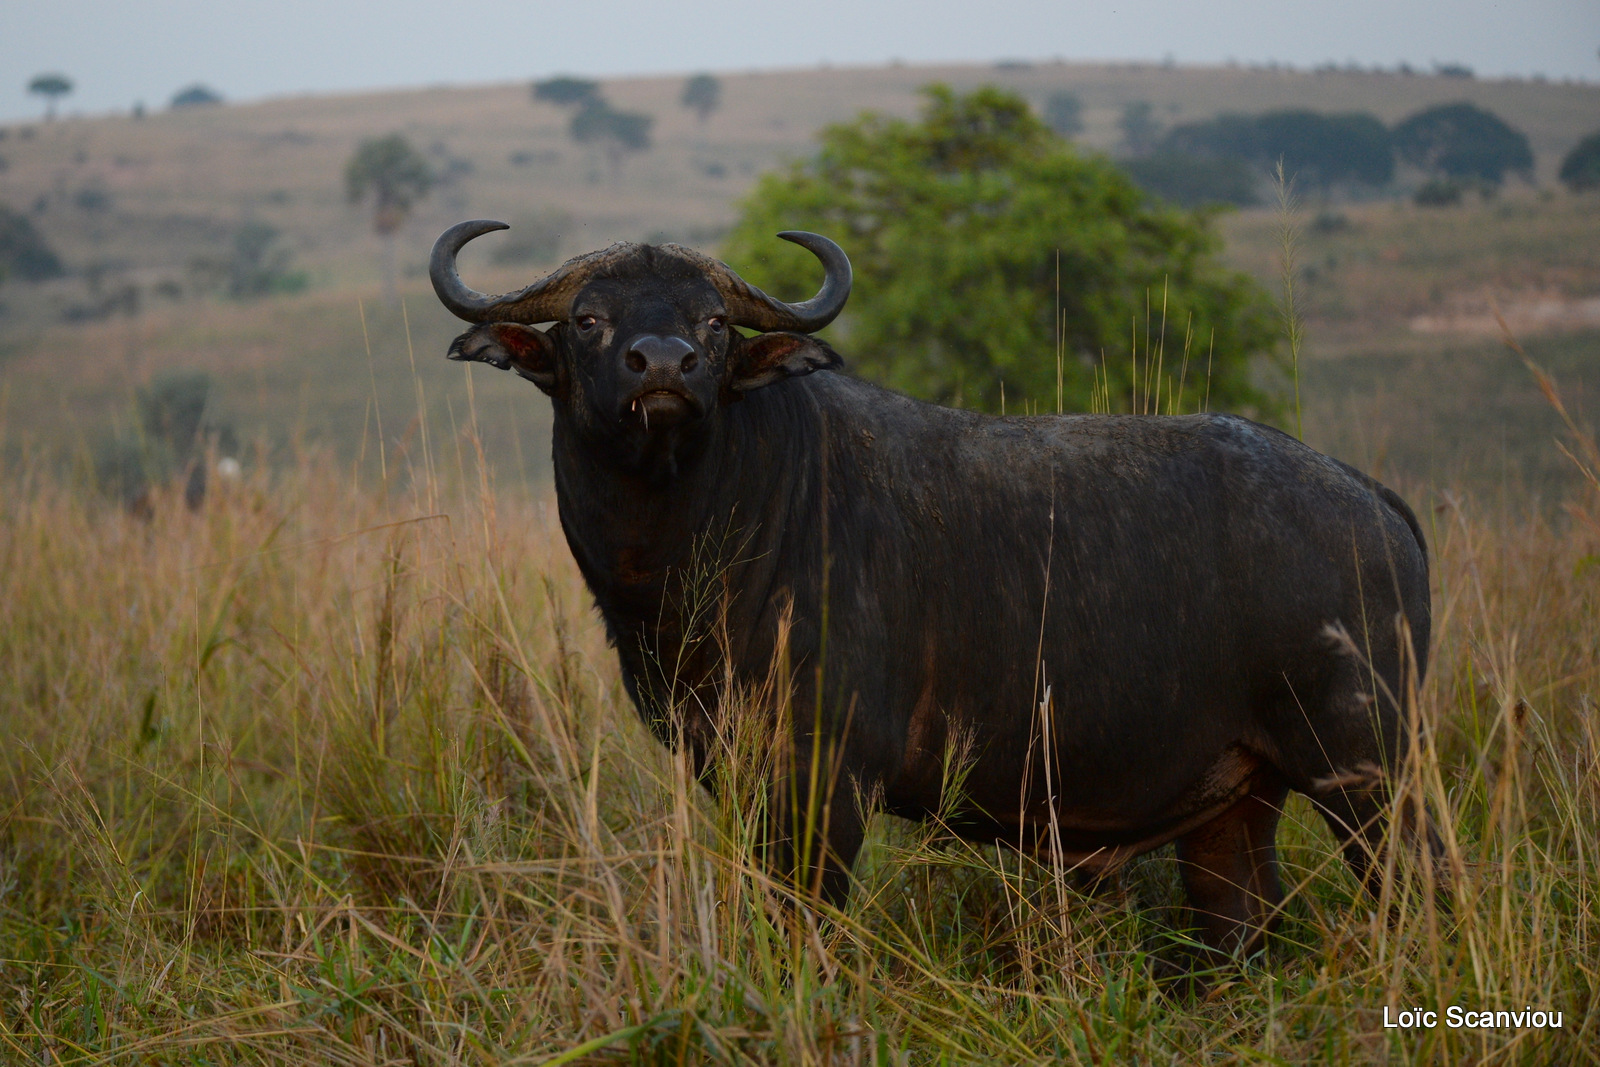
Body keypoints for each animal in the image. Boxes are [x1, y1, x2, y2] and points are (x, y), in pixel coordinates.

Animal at [432, 220, 1433, 953]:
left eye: (714, 322)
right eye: (589, 320)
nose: (666, 366)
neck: (704, 533)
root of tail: (1373, 502)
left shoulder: (824, 781)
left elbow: (805, 918)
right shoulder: (734, 773)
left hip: (1371, 776)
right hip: (1234, 815)